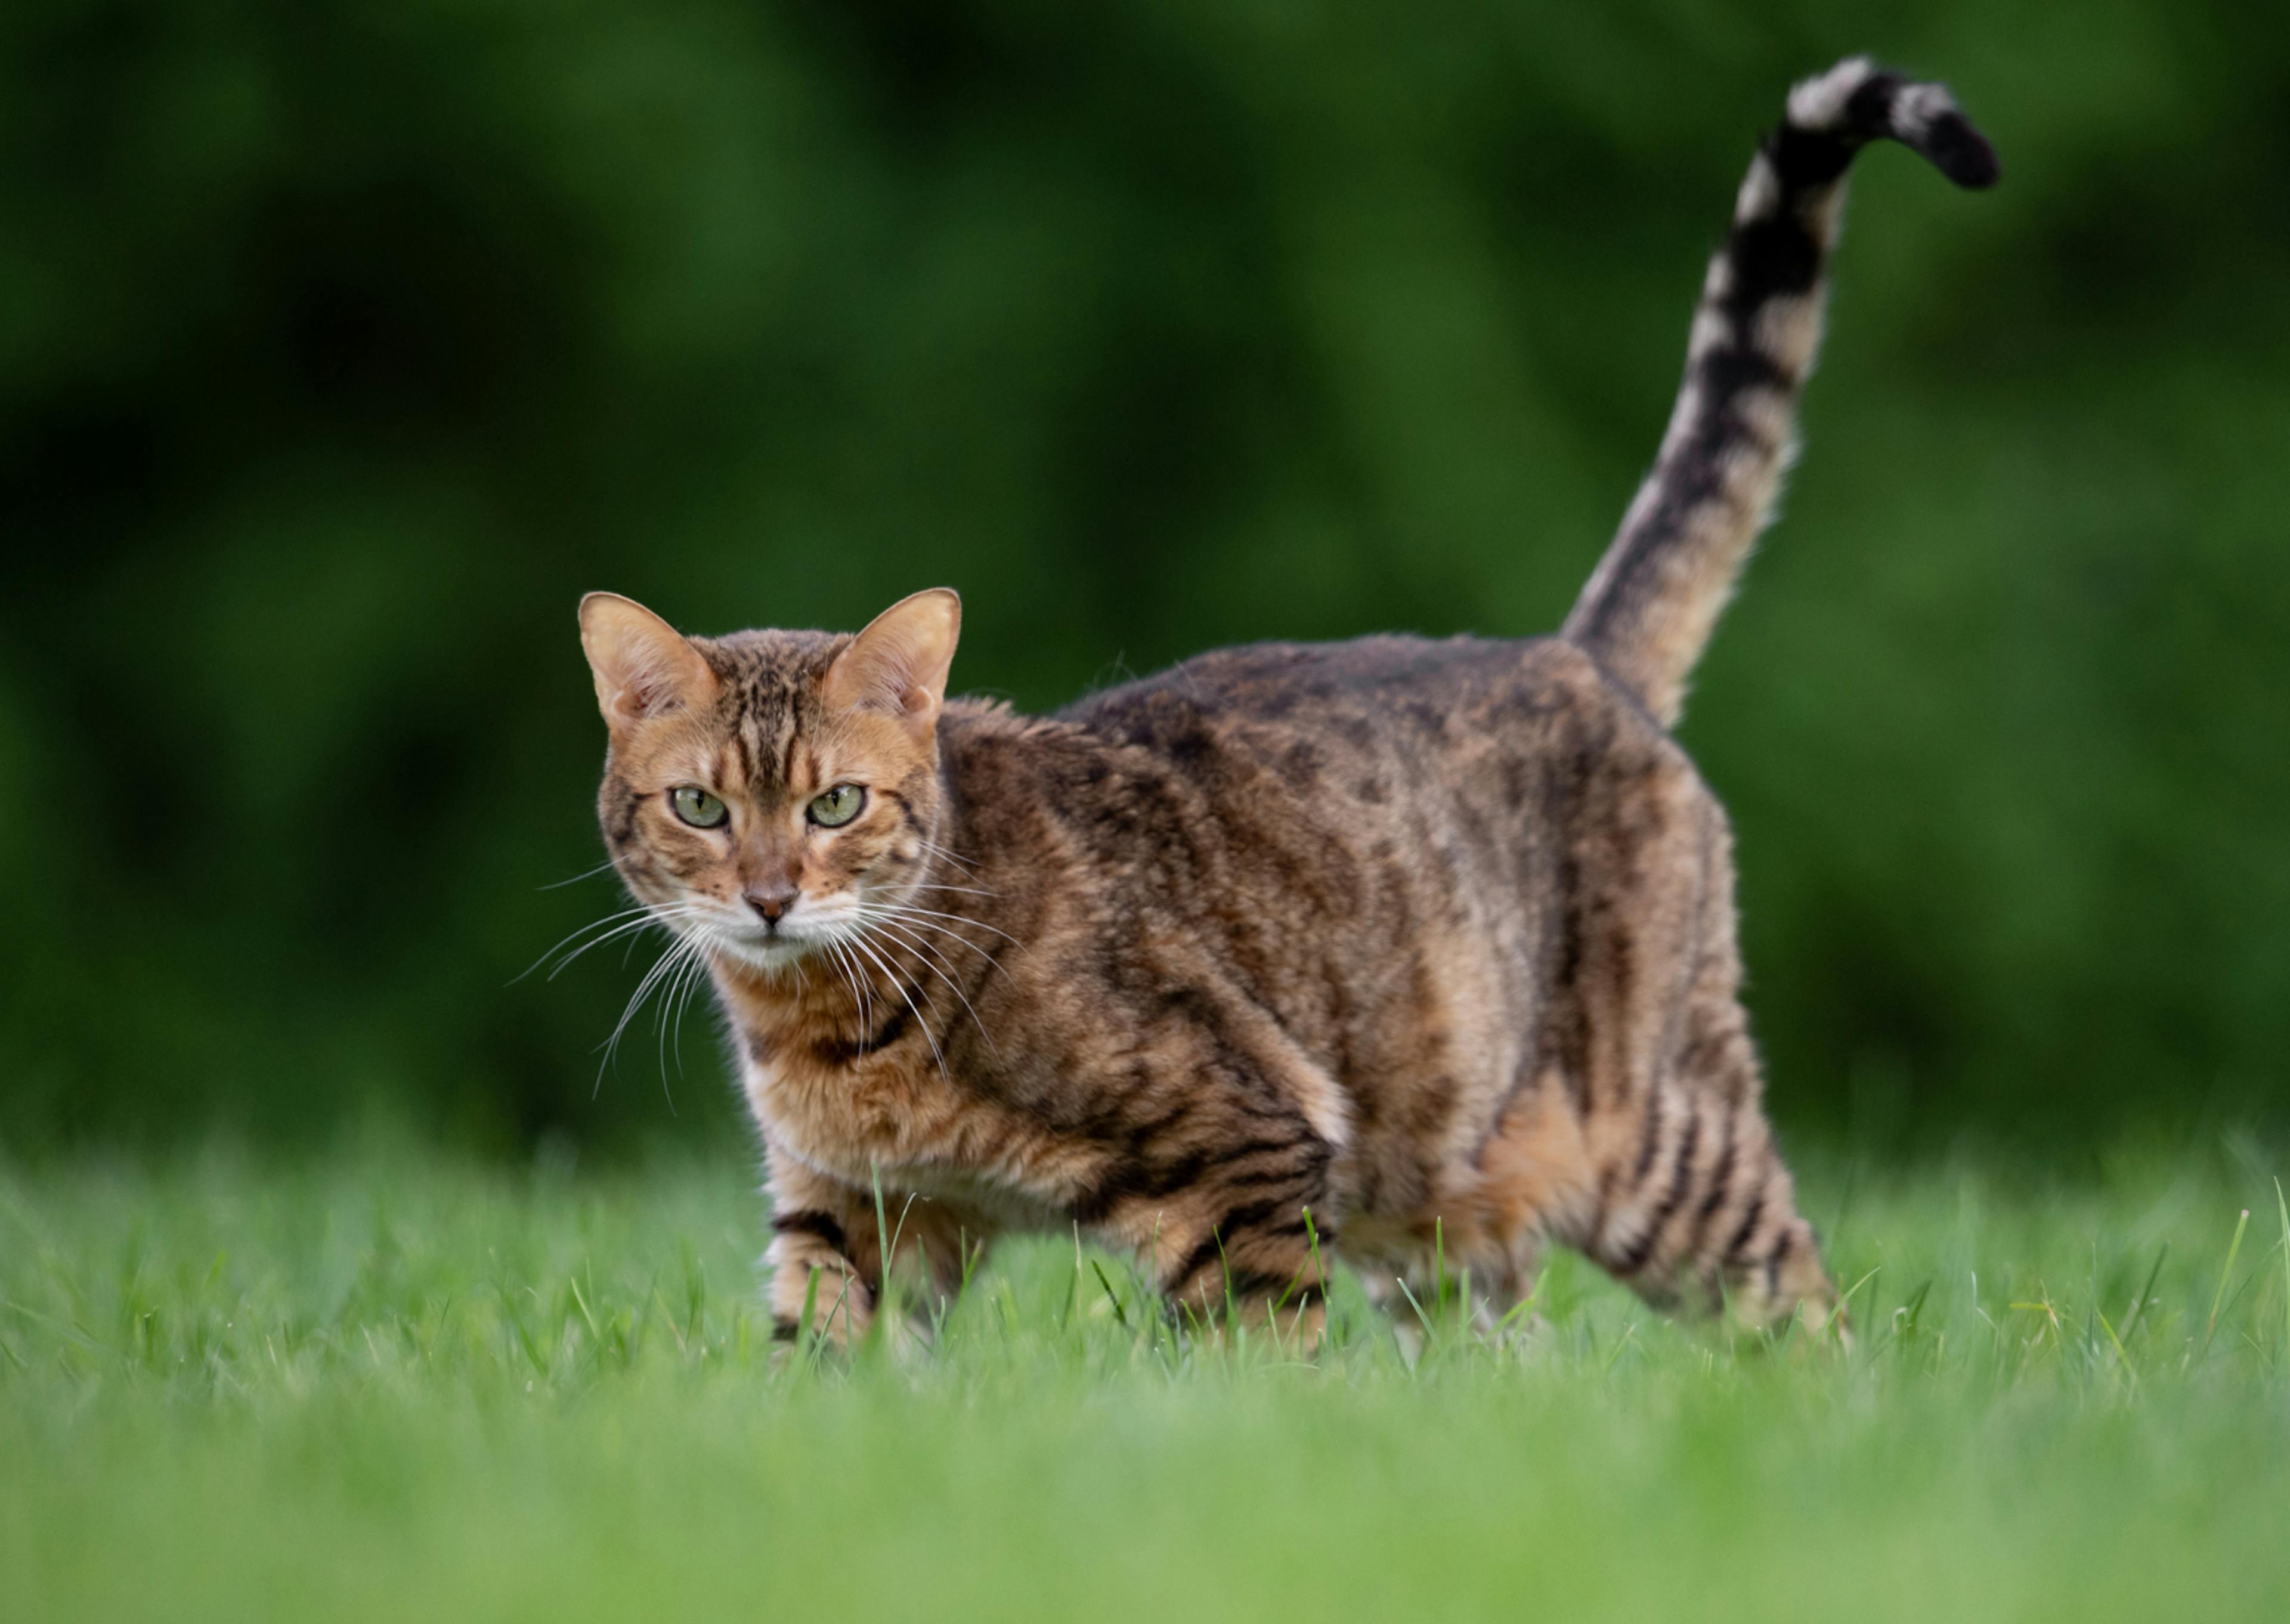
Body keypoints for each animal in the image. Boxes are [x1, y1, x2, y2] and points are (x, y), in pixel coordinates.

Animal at [581, 57, 1997, 1347]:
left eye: (836, 803)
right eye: (702, 805)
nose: (769, 897)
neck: (828, 1029)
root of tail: (1574, 655)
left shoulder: (1245, 1147)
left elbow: (1259, 1364)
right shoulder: (848, 1210)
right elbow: (820, 1365)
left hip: (1657, 1143)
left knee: (1807, 1306)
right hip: (1442, 1206)